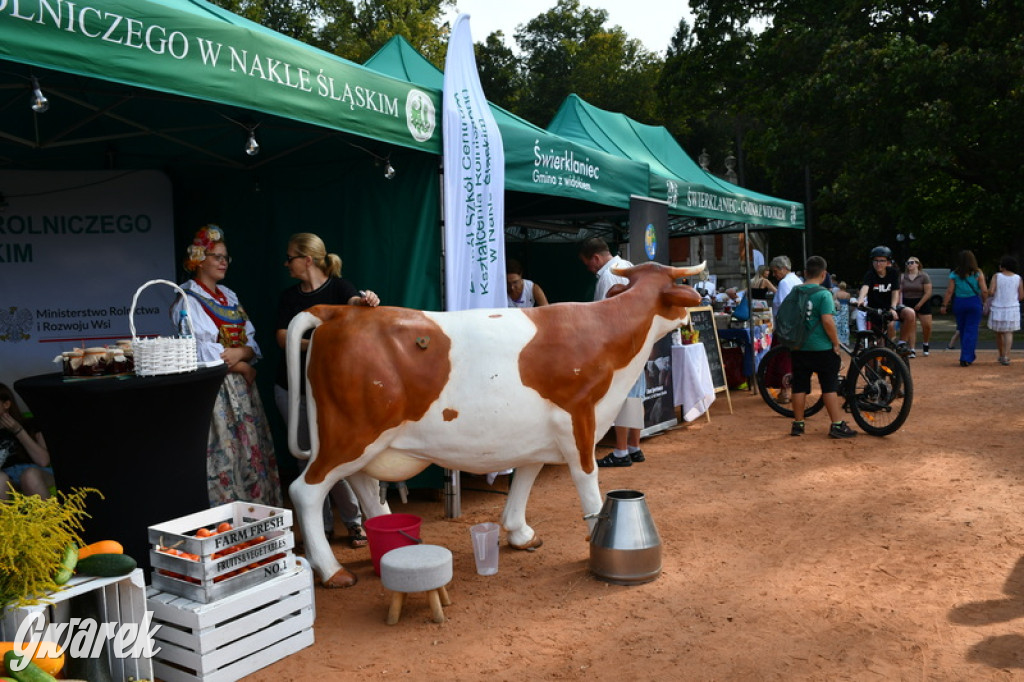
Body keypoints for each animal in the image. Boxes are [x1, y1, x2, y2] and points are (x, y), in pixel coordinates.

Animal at [288, 260, 704, 585]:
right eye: (681, 289)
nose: (695, 314)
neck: (607, 335)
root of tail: (338, 311)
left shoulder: (539, 432)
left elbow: (525, 477)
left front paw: (520, 534)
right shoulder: (579, 417)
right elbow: (588, 483)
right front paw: (597, 537)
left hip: (362, 439)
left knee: (359, 483)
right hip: (348, 435)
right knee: (306, 491)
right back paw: (332, 571)